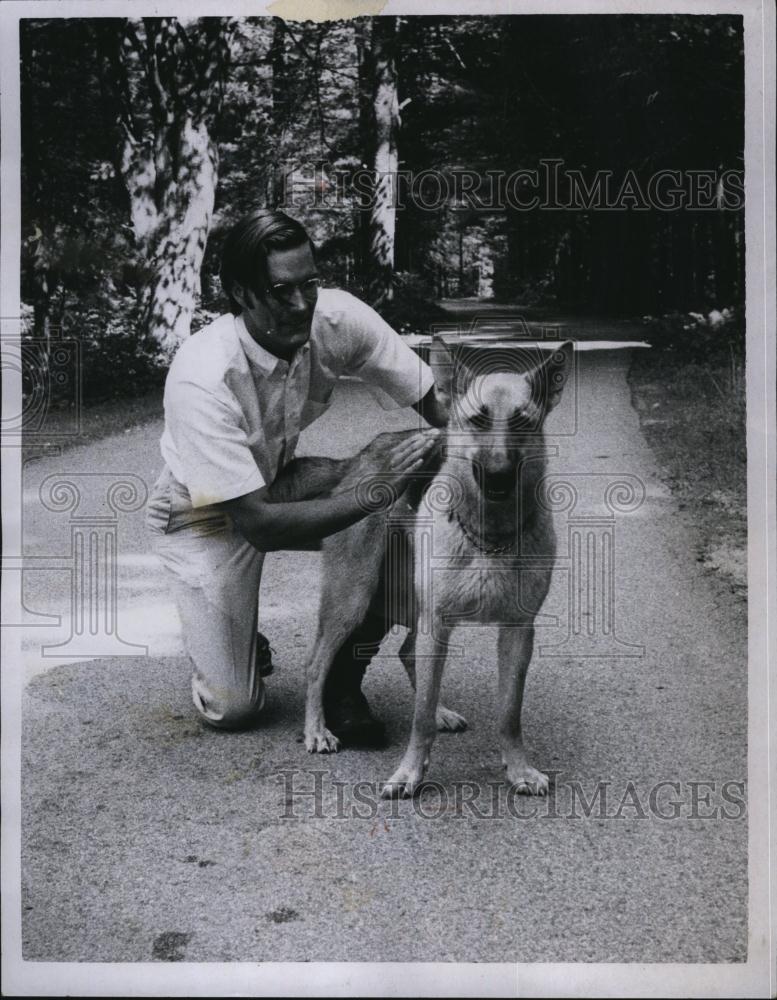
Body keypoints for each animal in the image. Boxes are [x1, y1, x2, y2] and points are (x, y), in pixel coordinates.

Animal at [272, 340, 568, 800]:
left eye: (523, 422)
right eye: (478, 420)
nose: (499, 477)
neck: (490, 535)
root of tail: (360, 458)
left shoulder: (518, 631)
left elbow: (509, 714)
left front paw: (518, 768)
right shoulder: (437, 622)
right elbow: (420, 716)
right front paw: (409, 774)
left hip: (404, 602)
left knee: (407, 652)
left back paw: (442, 712)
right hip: (354, 597)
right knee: (317, 662)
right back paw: (316, 730)